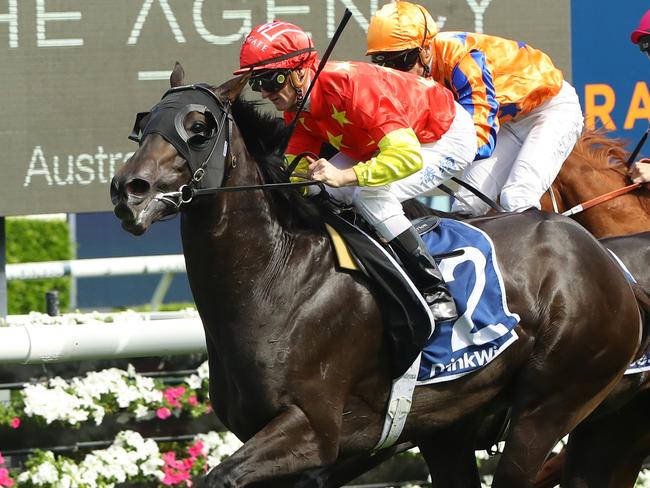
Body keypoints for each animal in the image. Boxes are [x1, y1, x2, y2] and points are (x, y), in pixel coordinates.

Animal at [109, 66, 640, 488]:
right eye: (142, 126)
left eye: (199, 127)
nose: (129, 190)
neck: (276, 276)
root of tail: (605, 262)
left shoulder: (313, 432)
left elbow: (221, 476)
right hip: (463, 427)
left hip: (549, 406)